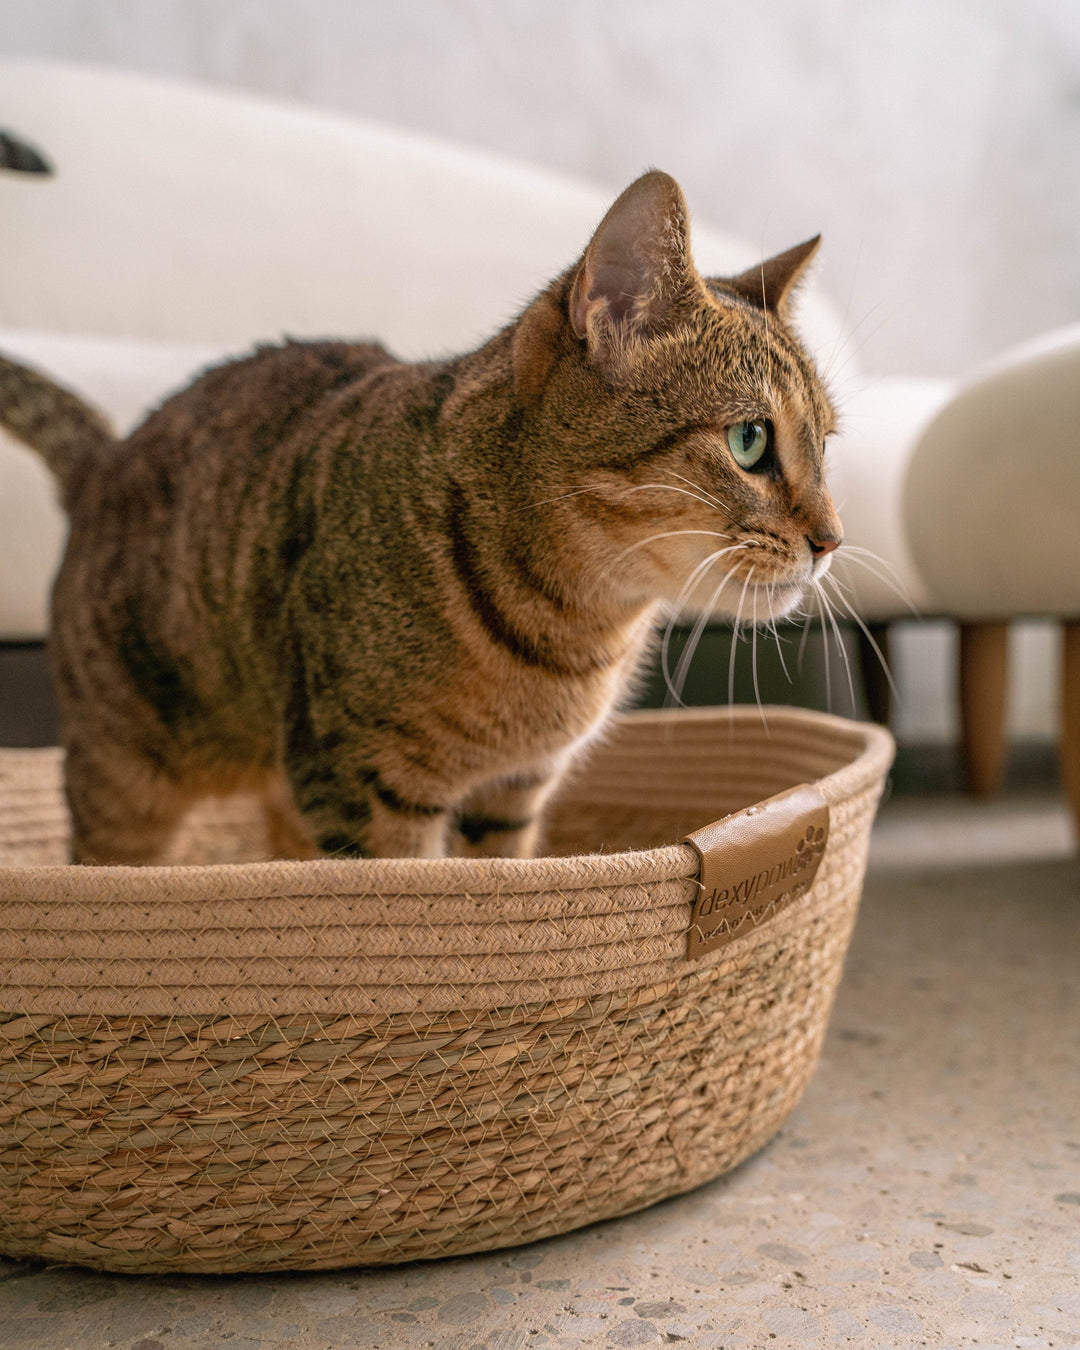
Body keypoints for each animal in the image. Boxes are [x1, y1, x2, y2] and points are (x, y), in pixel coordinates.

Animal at [0, 171, 842, 864]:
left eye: (827, 443)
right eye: (749, 440)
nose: (832, 540)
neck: (570, 630)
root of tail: (108, 457)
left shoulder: (511, 794)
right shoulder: (363, 787)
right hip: (126, 777)